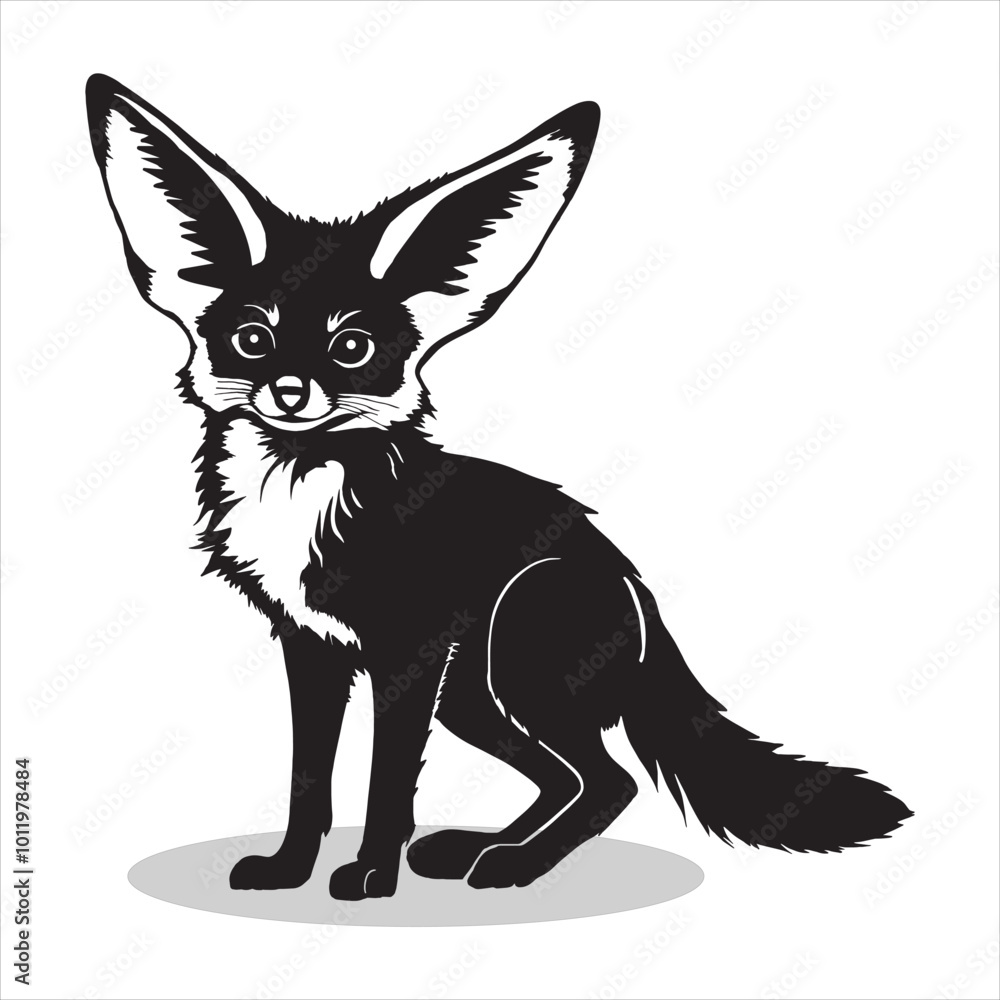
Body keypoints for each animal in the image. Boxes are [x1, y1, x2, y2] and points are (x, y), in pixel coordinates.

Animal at [86, 74, 911, 901]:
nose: (289, 394)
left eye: (351, 347)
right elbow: (308, 779)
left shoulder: (406, 652)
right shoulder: (310, 649)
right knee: (567, 777)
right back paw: (477, 851)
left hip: (512, 659)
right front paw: (291, 868)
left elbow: (387, 781)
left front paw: (371, 876)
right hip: (474, 698)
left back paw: (512, 865)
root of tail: (634, 586)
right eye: (252, 339)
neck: (302, 489)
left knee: (609, 782)